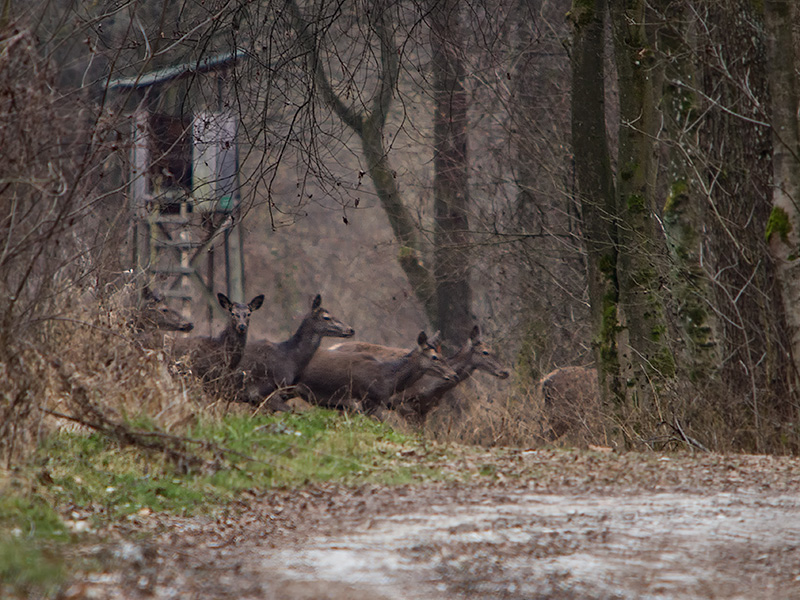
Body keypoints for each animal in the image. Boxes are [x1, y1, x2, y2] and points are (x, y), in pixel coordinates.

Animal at [330, 324, 506, 422]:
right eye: (485, 352)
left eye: (493, 350)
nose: (505, 372)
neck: (433, 386)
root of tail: (332, 347)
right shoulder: (401, 404)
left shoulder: (423, 410)